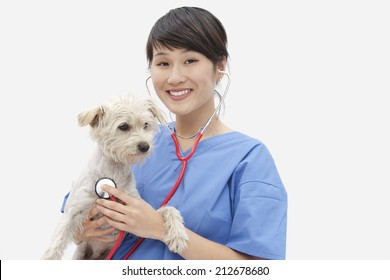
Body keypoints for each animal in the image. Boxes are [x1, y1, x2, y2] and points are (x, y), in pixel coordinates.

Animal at [42, 94, 188, 260]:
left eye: (145, 125)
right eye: (123, 126)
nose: (145, 146)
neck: (113, 174)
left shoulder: (139, 216)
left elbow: (169, 209)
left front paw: (178, 235)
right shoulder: (74, 210)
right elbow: (59, 237)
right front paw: (49, 257)